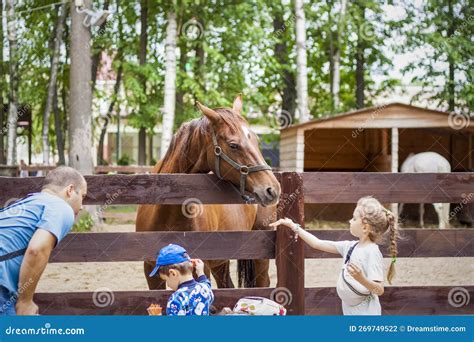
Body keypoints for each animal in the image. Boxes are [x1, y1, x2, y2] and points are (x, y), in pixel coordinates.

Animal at [135, 95, 280, 290]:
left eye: (256, 141)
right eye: (233, 145)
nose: (272, 189)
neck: (167, 212)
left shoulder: (202, 268)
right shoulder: (151, 272)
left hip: (259, 256)